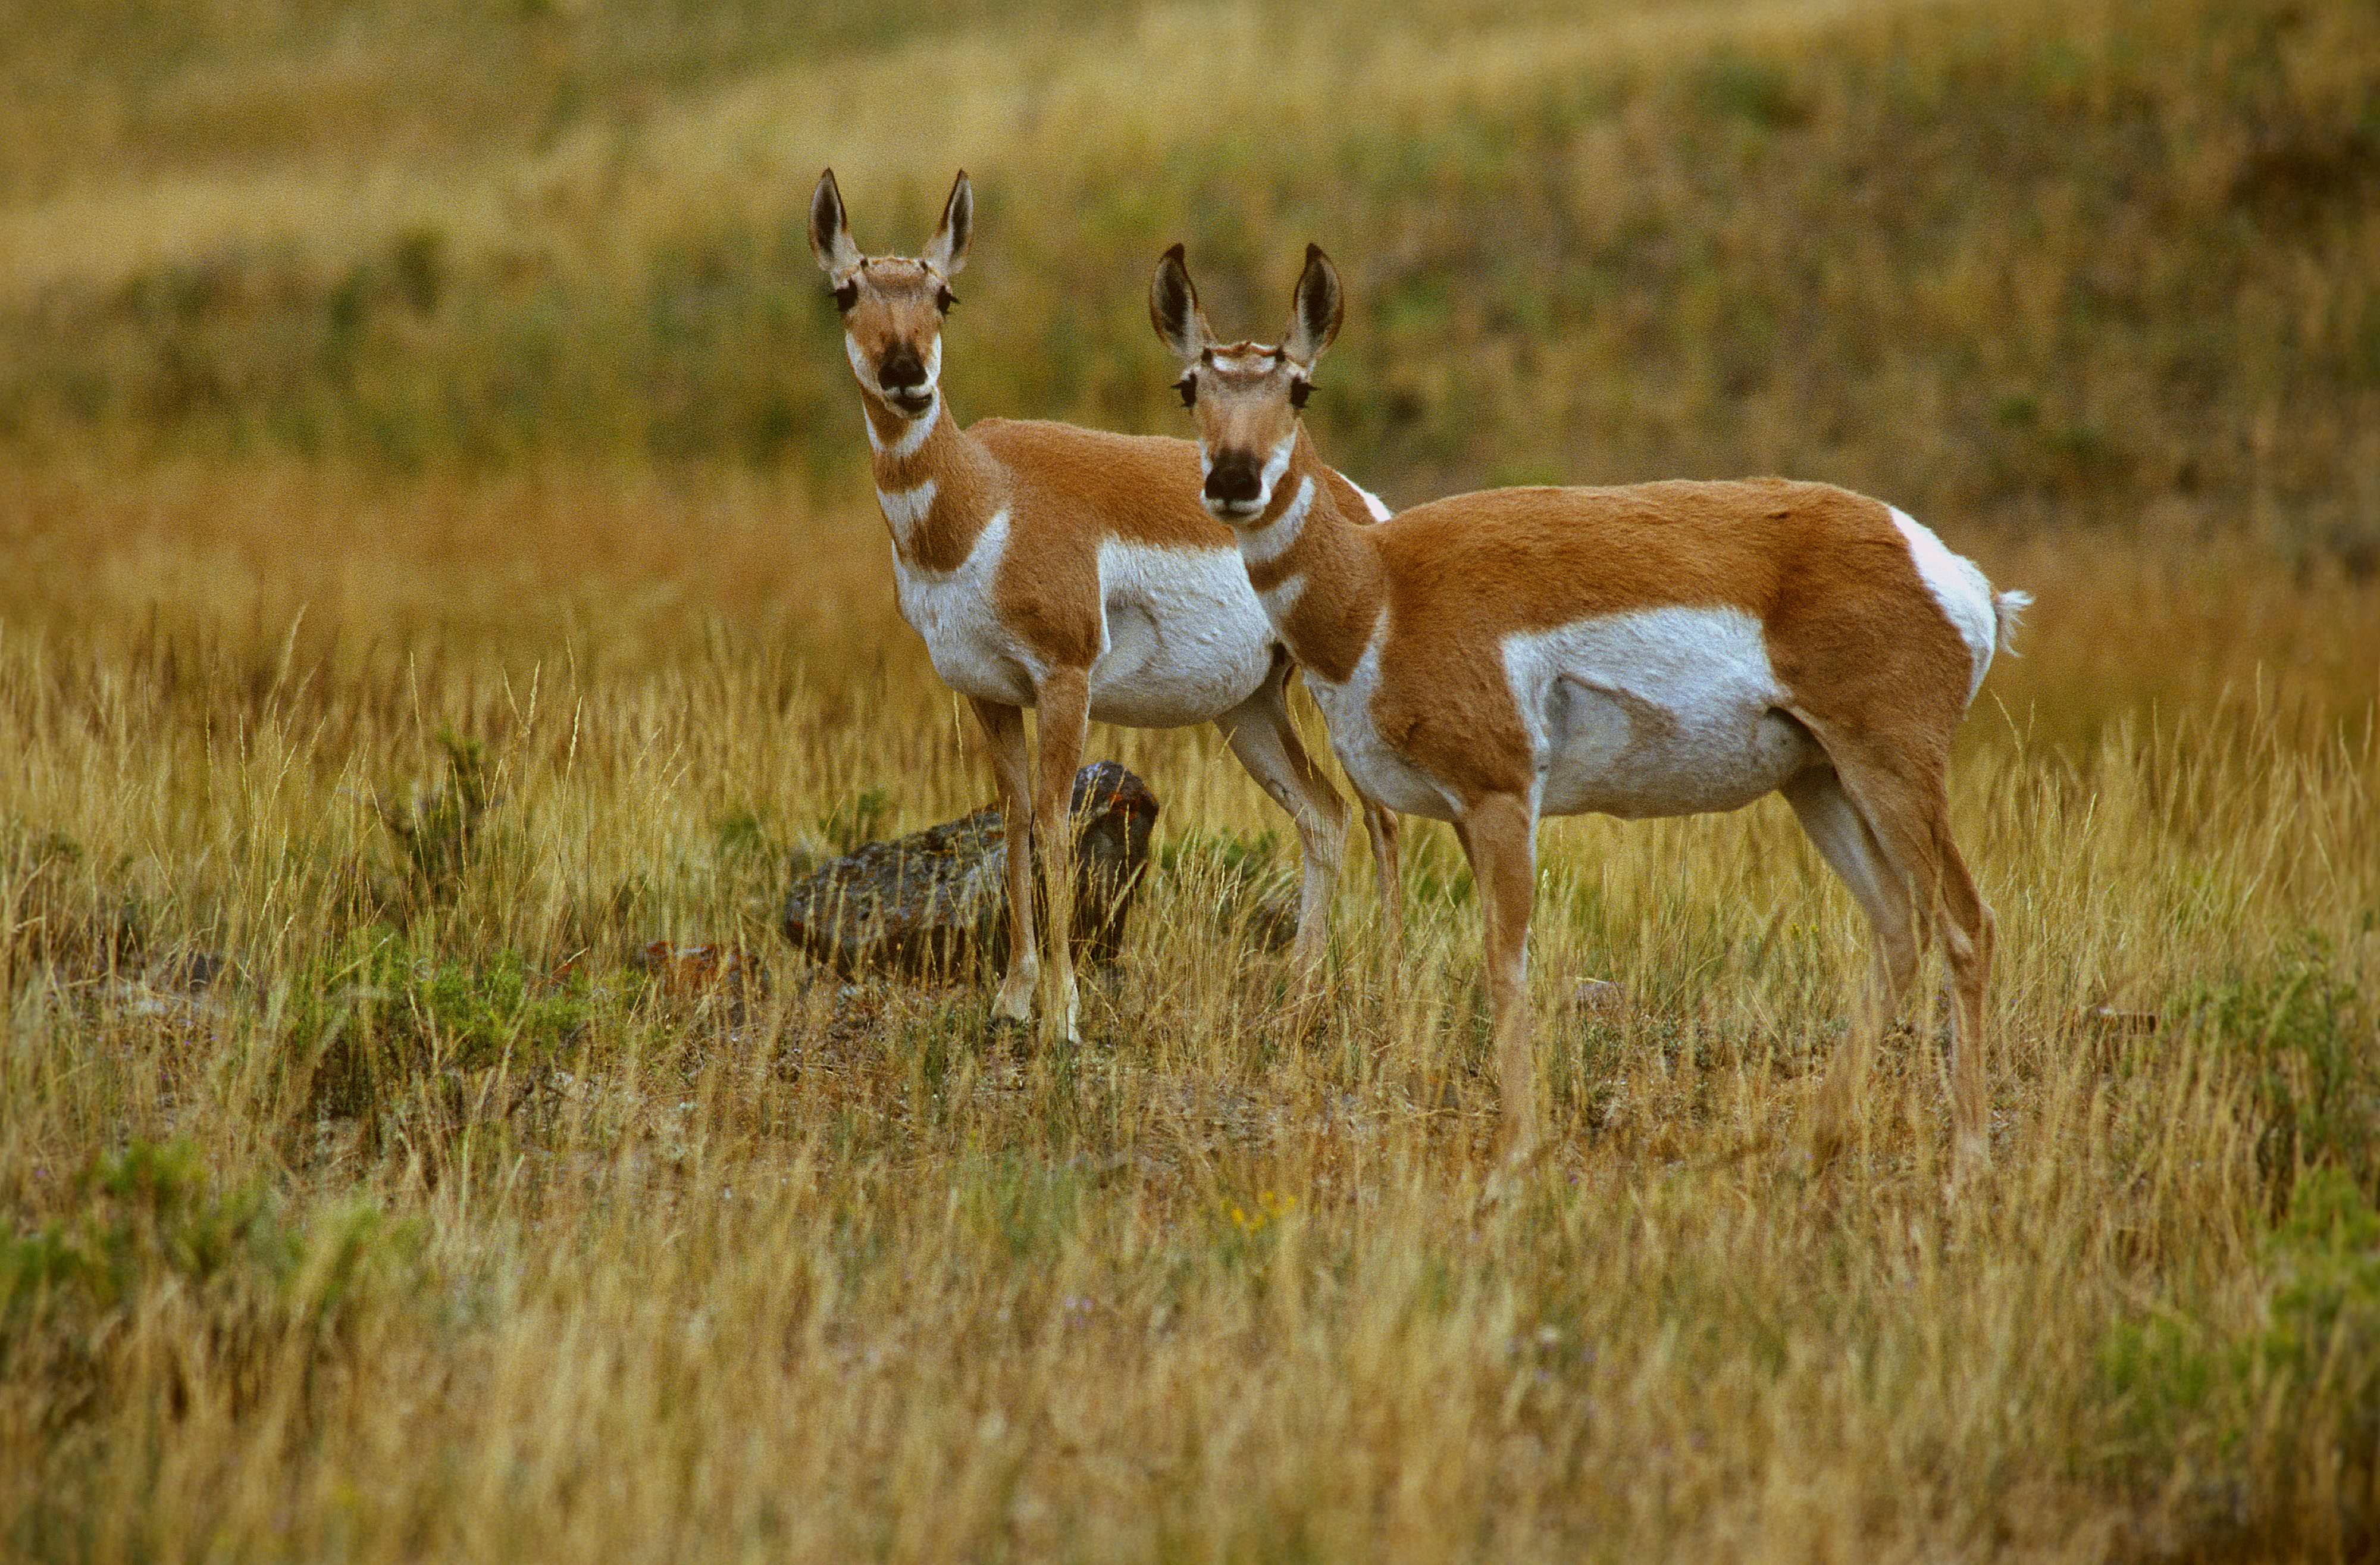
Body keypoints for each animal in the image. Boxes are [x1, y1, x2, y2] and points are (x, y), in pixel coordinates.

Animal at [809, 171, 1390, 1037]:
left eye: (944, 294)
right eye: (846, 291)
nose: (908, 375)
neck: (985, 498)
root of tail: (1354, 499)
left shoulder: (1065, 680)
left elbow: (1056, 824)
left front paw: (1064, 1015)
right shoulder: (986, 692)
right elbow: (1014, 820)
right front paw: (1013, 998)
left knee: (1382, 816)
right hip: (1249, 706)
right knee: (1325, 814)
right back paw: (1300, 998)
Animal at [1147, 237, 2028, 1151]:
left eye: (1299, 387)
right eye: (1189, 387)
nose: (1233, 479)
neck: (1380, 589)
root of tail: (1947, 568)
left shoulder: (1501, 796)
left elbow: (1507, 960)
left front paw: (1516, 1144)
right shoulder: (1461, 810)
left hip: (1893, 769)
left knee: (1967, 925)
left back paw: (1966, 1154)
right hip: (1817, 779)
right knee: (1897, 927)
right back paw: (1808, 1140)